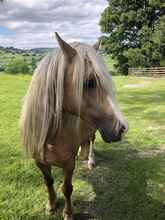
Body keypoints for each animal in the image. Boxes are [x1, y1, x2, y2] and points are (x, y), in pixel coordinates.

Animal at [19, 32, 127, 220]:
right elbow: (48, 182)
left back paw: (90, 160)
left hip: (93, 130)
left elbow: (67, 189)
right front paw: (51, 204)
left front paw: (68, 213)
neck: (51, 137)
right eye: (89, 82)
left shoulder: (68, 165)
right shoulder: (40, 162)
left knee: (91, 141)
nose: (122, 128)